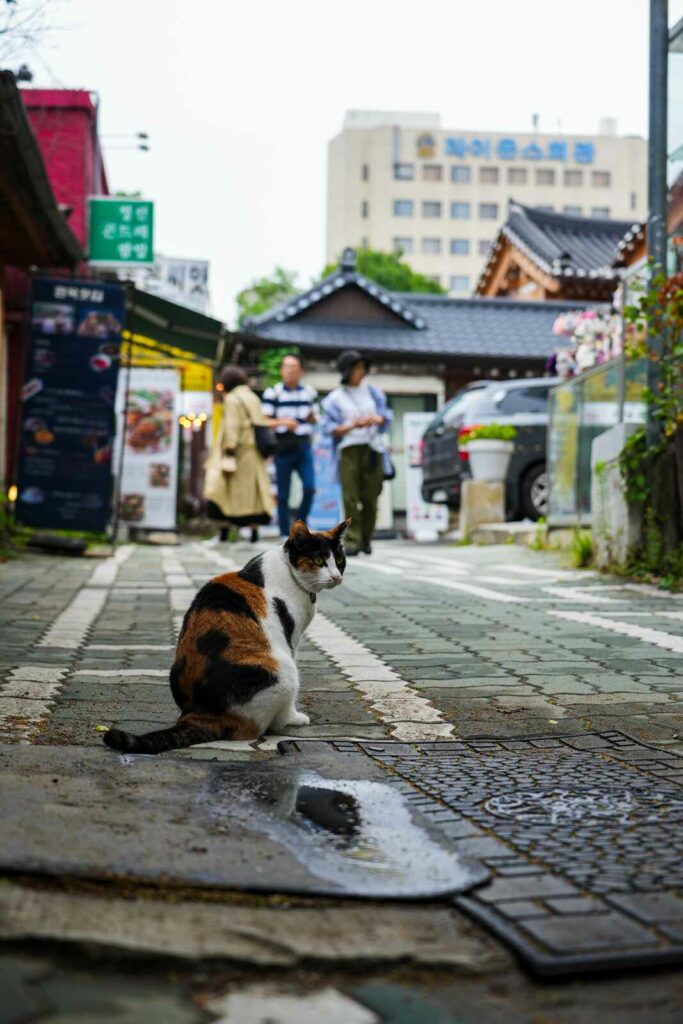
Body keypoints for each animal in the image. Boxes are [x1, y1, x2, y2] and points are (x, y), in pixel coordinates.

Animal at [103, 520, 350, 753]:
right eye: (318, 560)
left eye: (339, 559)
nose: (337, 577)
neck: (288, 570)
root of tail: (200, 714)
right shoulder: (292, 639)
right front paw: (297, 716)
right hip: (284, 671)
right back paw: (289, 720)